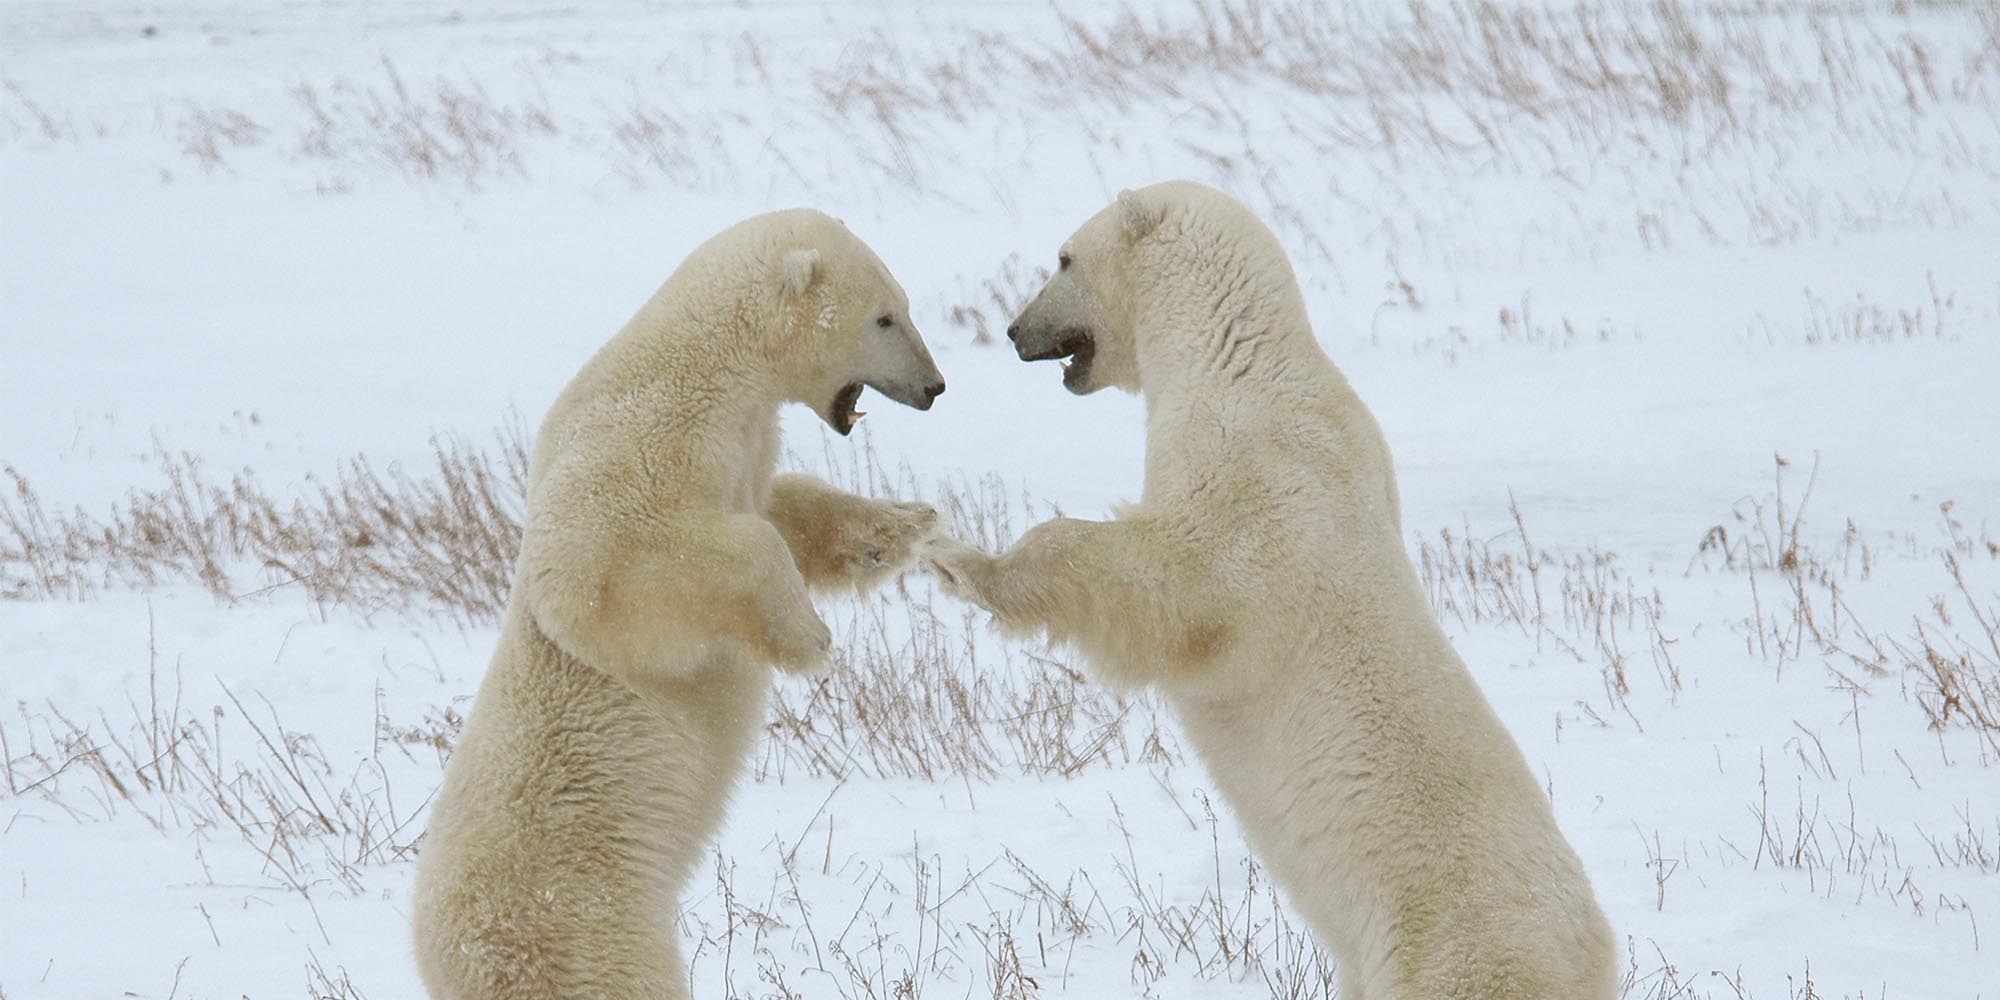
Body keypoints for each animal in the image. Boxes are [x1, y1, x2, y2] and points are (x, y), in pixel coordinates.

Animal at [411, 208, 946, 1000]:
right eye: (885, 315)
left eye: (904, 304)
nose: (936, 385)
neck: (705, 368)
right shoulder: (631, 452)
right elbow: (605, 577)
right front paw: (809, 639)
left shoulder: (742, 452)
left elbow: (781, 507)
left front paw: (903, 526)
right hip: (581, 919)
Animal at [919, 181, 1617, 1000]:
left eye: (1063, 258)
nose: (1015, 330)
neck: (1241, 358)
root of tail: (1593, 957)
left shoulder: (1257, 479)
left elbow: (1172, 581)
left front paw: (954, 557)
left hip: (1454, 950)